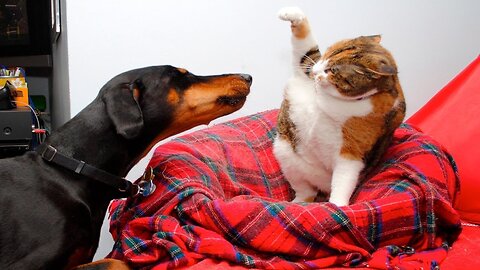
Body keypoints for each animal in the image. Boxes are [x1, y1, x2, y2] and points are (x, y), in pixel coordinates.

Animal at [274, 6, 404, 206]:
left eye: (333, 70)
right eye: (327, 53)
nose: (316, 72)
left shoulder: (351, 153)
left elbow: (344, 180)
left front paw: (337, 206)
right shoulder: (305, 70)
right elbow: (306, 51)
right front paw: (291, 13)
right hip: (286, 156)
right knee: (304, 191)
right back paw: (297, 203)